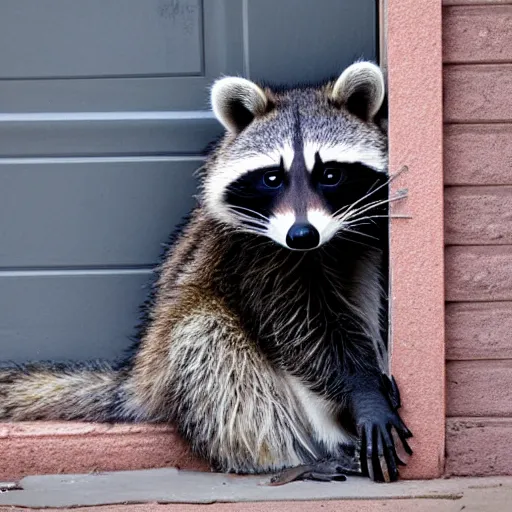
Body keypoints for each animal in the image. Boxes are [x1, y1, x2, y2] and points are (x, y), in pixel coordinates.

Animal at [0, 62, 412, 482]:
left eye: (329, 174)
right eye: (272, 177)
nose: (301, 235)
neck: (323, 245)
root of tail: (139, 378)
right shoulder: (250, 253)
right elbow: (303, 329)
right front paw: (363, 389)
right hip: (180, 350)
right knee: (212, 350)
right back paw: (290, 458)